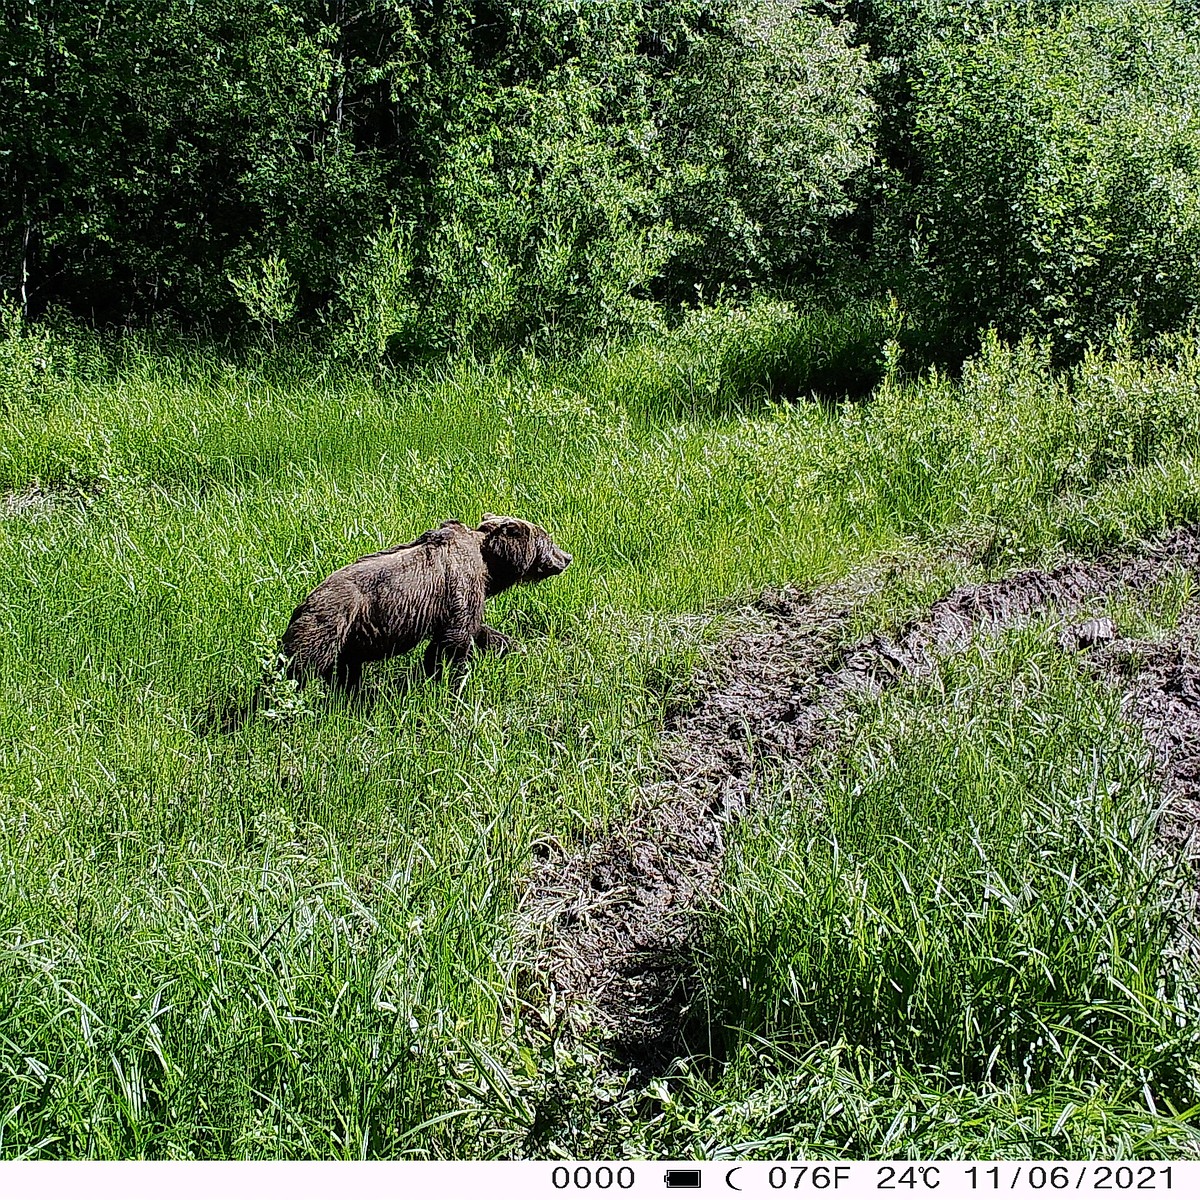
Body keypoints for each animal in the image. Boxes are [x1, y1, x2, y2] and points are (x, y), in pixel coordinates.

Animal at [280, 511, 571, 691]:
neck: (488, 566)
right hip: (329, 624)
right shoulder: (459, 584)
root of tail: (302, 603)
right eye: (548, 539)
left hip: (347, 638)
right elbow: (452, 641)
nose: (567, 557)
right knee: (299, 667)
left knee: (345, 671)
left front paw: (513, 646)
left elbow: (478, 629)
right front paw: (445, 679)